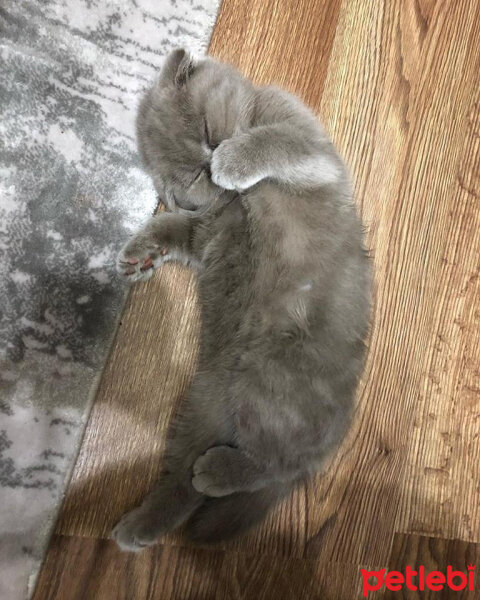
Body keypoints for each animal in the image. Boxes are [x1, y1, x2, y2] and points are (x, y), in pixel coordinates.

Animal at [112, 49, 372, 552]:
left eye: (205, 131)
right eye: (189, 175)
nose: (213, 155)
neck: (236, 203)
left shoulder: (313, 151)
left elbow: (277, 140)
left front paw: (235, 160)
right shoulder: (205, 233)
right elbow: (171, 225)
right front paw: (139, 255)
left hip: (265, 380)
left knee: (278, 464)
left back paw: (211, 476)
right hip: (209, 402)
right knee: (192, 480)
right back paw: (141, 525)